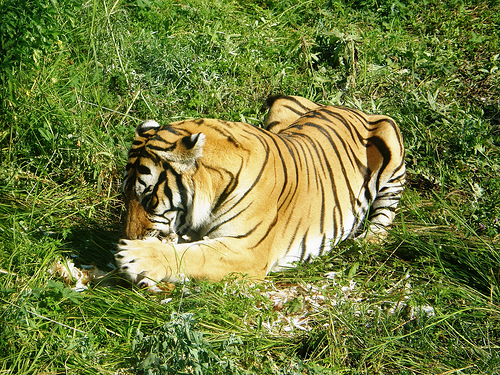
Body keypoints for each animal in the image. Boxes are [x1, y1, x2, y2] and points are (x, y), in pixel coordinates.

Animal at [116, 95, 406, 286]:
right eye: (125, 195)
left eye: (148, 197)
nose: (129, 237)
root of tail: (345, 106)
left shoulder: (247, 249)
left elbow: (195, 255)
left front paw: (135, 256)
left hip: (391, 137)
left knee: (386, 209)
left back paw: (369, 240)